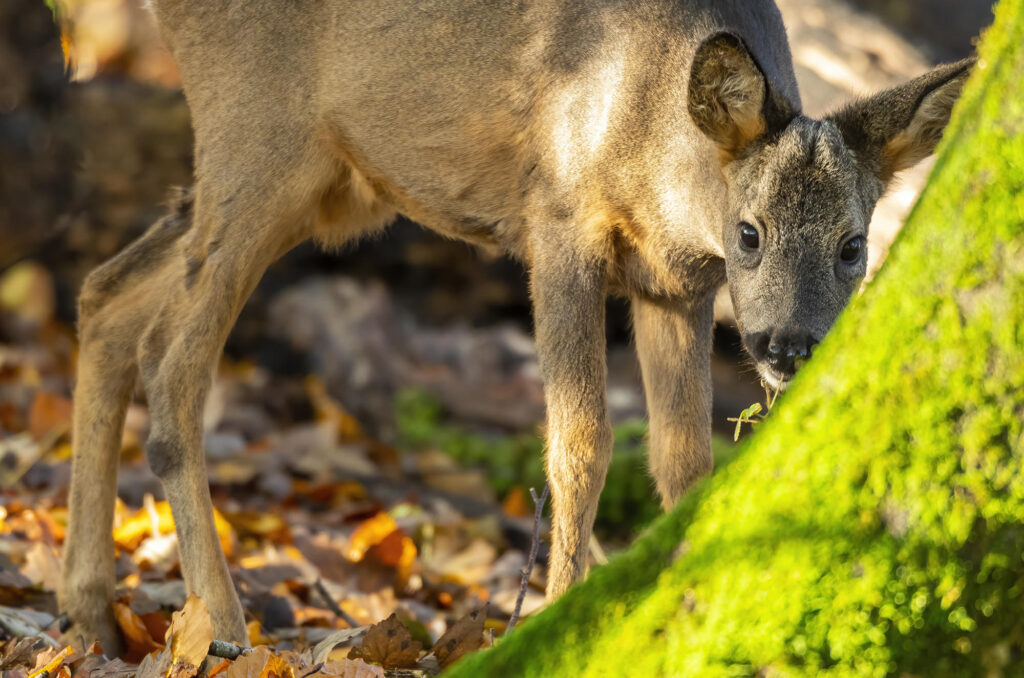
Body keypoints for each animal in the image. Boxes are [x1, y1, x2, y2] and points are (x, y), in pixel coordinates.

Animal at [59, 0, 970, 655]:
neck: (642, 122)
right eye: (750, 233)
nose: (788, 348)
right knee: (170, 360)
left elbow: (684, 459)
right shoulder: (559, 224)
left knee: (105, 294)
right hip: (257, 142)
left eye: (854, 247)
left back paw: (89, 614)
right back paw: (220, 629)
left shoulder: (674, 287)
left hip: (330, 188)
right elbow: (582, 441)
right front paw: (561, 616)